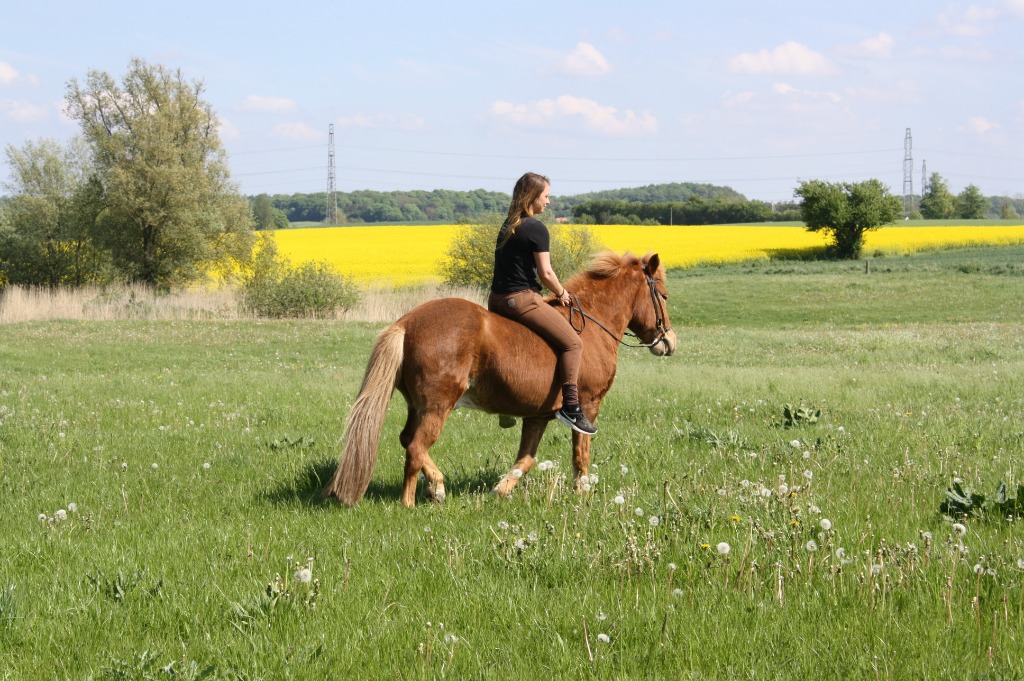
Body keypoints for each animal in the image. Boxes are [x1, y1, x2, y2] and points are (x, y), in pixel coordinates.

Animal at [323, 249, 675, 503]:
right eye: (664, 296)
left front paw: (502, 489)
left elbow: (526, 459)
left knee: (408, 440)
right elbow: (581, 454)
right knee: (416, 447)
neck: (592, 325)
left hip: (417, 405)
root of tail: (407, 323)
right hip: (438, 405)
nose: (668, 341)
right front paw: (582, 493)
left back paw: (434, 486)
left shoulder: (538, 415)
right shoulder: (587, 406)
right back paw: (414, 501)